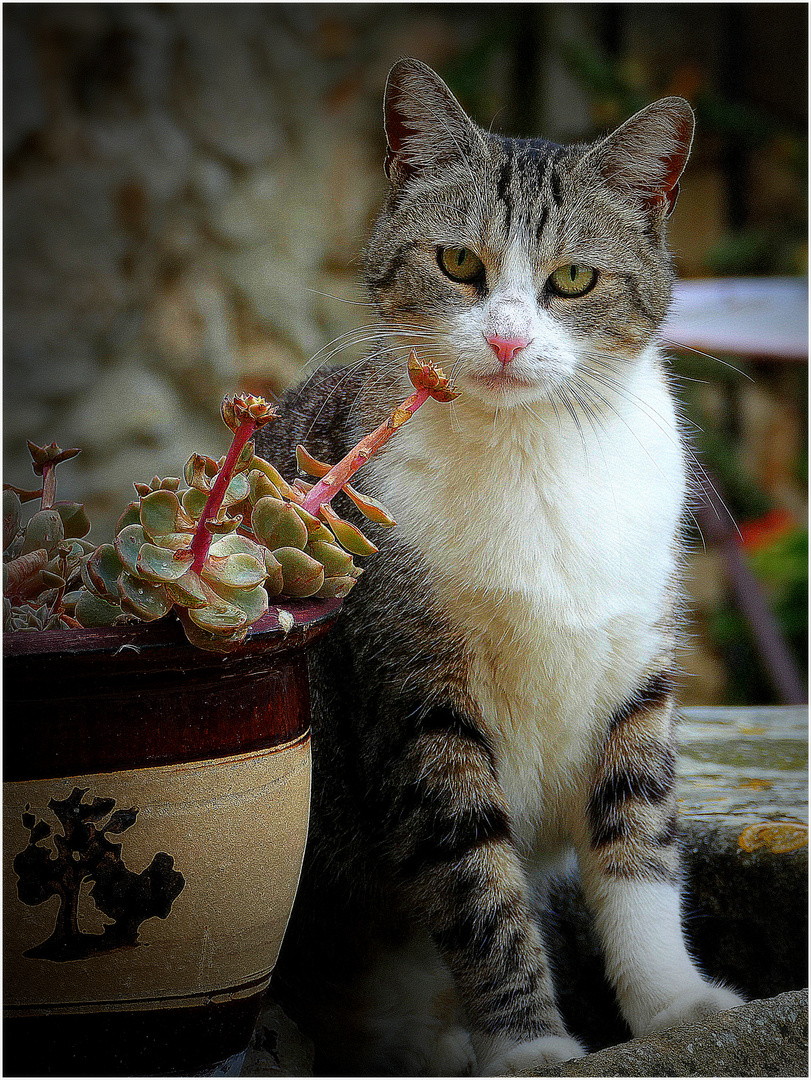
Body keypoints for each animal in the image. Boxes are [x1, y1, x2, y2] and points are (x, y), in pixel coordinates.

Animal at [258, 61, 742, 1080]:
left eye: (573, 279)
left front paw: (674, 1007)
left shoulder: (637, 672)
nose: (510, 340)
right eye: (456, 264)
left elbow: (638, 848)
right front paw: (529, 1044)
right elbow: (478, 889)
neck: (535, 451)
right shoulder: (419, 701)